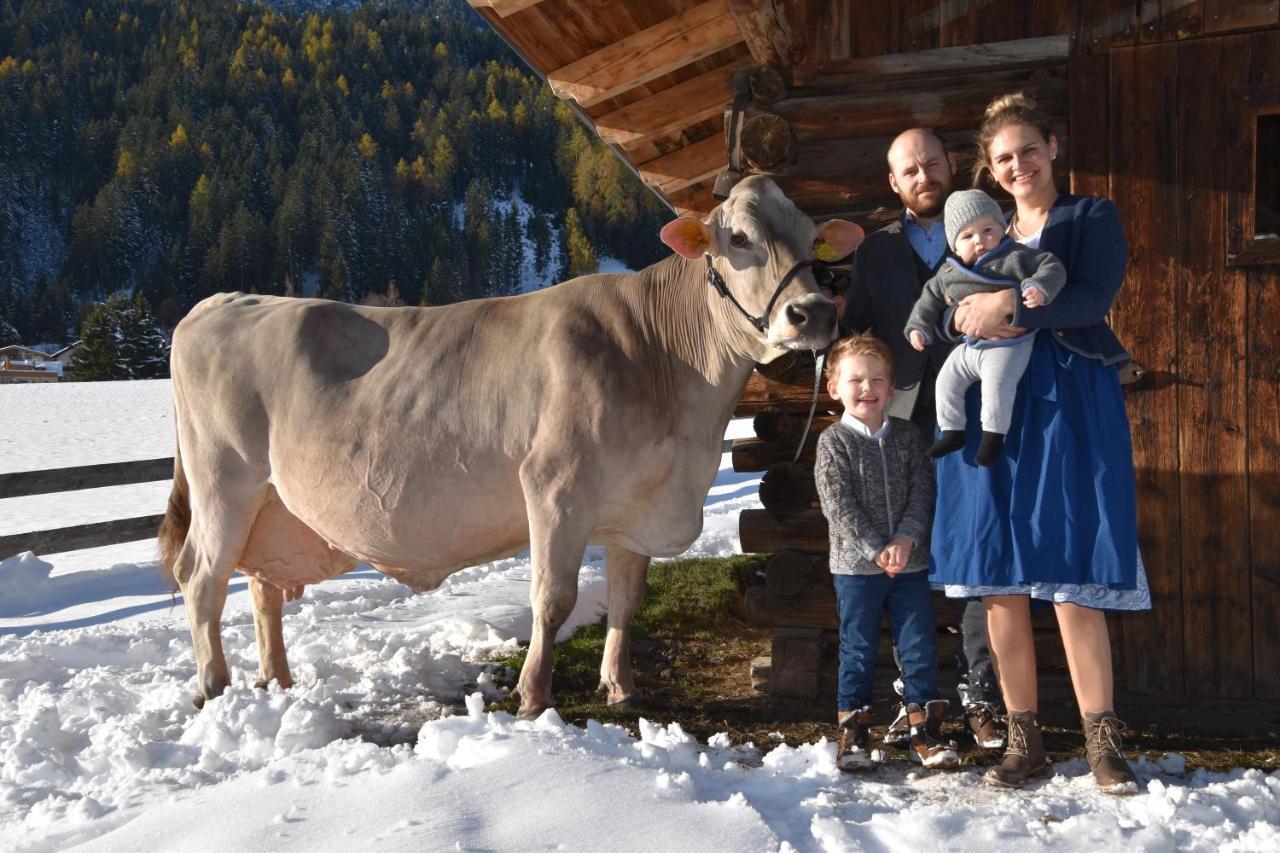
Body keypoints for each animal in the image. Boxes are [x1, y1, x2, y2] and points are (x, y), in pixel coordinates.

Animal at [160, 175, 860, 712]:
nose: (816, 313)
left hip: (271, 505)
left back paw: (276, 681)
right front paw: (533, 697)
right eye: (739, 238)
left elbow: (626, 601)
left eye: (811, 237)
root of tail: (225, 300)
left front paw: (621, 688)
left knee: (260, 586)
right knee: (203, 578)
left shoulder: (636, 507)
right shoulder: (555, 487)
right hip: (225, 483)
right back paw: (214, 688)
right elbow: (553, 600)